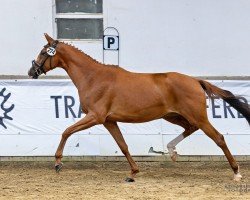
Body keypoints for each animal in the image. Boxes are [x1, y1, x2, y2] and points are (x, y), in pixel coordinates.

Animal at [28, 34, 249, 181]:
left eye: (43, 52)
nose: (31, 71)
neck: (93, 77)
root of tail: (196, 81)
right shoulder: (109, 121)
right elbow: (123, 145)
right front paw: (133, 173)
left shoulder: (95, 117)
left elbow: (66, 131)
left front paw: (58, 163)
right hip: (173, 116)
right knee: (190, 128)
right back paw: (172, 151)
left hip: (198, 117)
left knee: (219, 138)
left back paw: (236, 172)